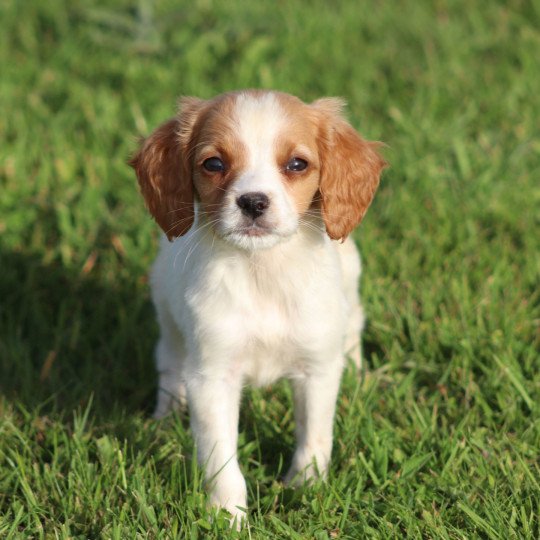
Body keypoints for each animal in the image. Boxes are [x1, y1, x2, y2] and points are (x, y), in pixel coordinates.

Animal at [130, 90, 384, 520]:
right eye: (214, 164)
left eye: (297, 164)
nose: (252, 202)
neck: (262, 270)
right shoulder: (212, 376)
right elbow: (221, 458)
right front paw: (227, 516)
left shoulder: (316, 368)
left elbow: (315, 437)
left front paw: (305, 489)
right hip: (168, 315)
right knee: (169, 364)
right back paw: (165, 418)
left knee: (353, 326)